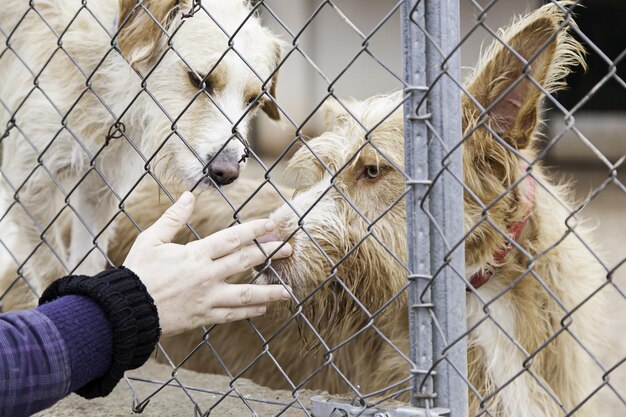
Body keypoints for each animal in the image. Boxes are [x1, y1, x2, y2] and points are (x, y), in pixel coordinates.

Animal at [0, 0, 280, 300]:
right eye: (199, 80)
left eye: (254, 100)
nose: (226, 172)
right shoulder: (28, 180)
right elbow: (49, 267)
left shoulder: (99, 191)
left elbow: (88, 259)